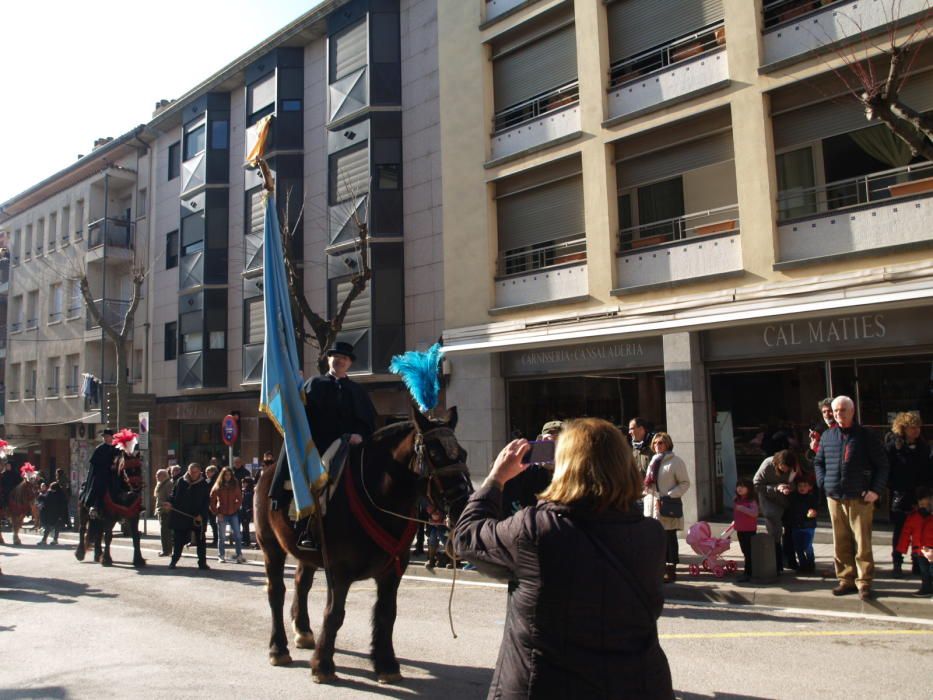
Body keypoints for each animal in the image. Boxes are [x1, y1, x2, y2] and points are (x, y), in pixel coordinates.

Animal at [255, 404, 474, 684]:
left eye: (463, 453)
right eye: (434, 454)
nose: (462, 506)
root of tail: (267, 471)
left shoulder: (393, 570)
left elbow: (387, 613)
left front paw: (386, 664)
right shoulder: (339, 571)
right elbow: (334, 614)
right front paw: (322, 665)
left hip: (306, 553)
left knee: (301, 583)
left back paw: (303, 632)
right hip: (270, 548)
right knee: (276, 592)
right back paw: (278, 649)